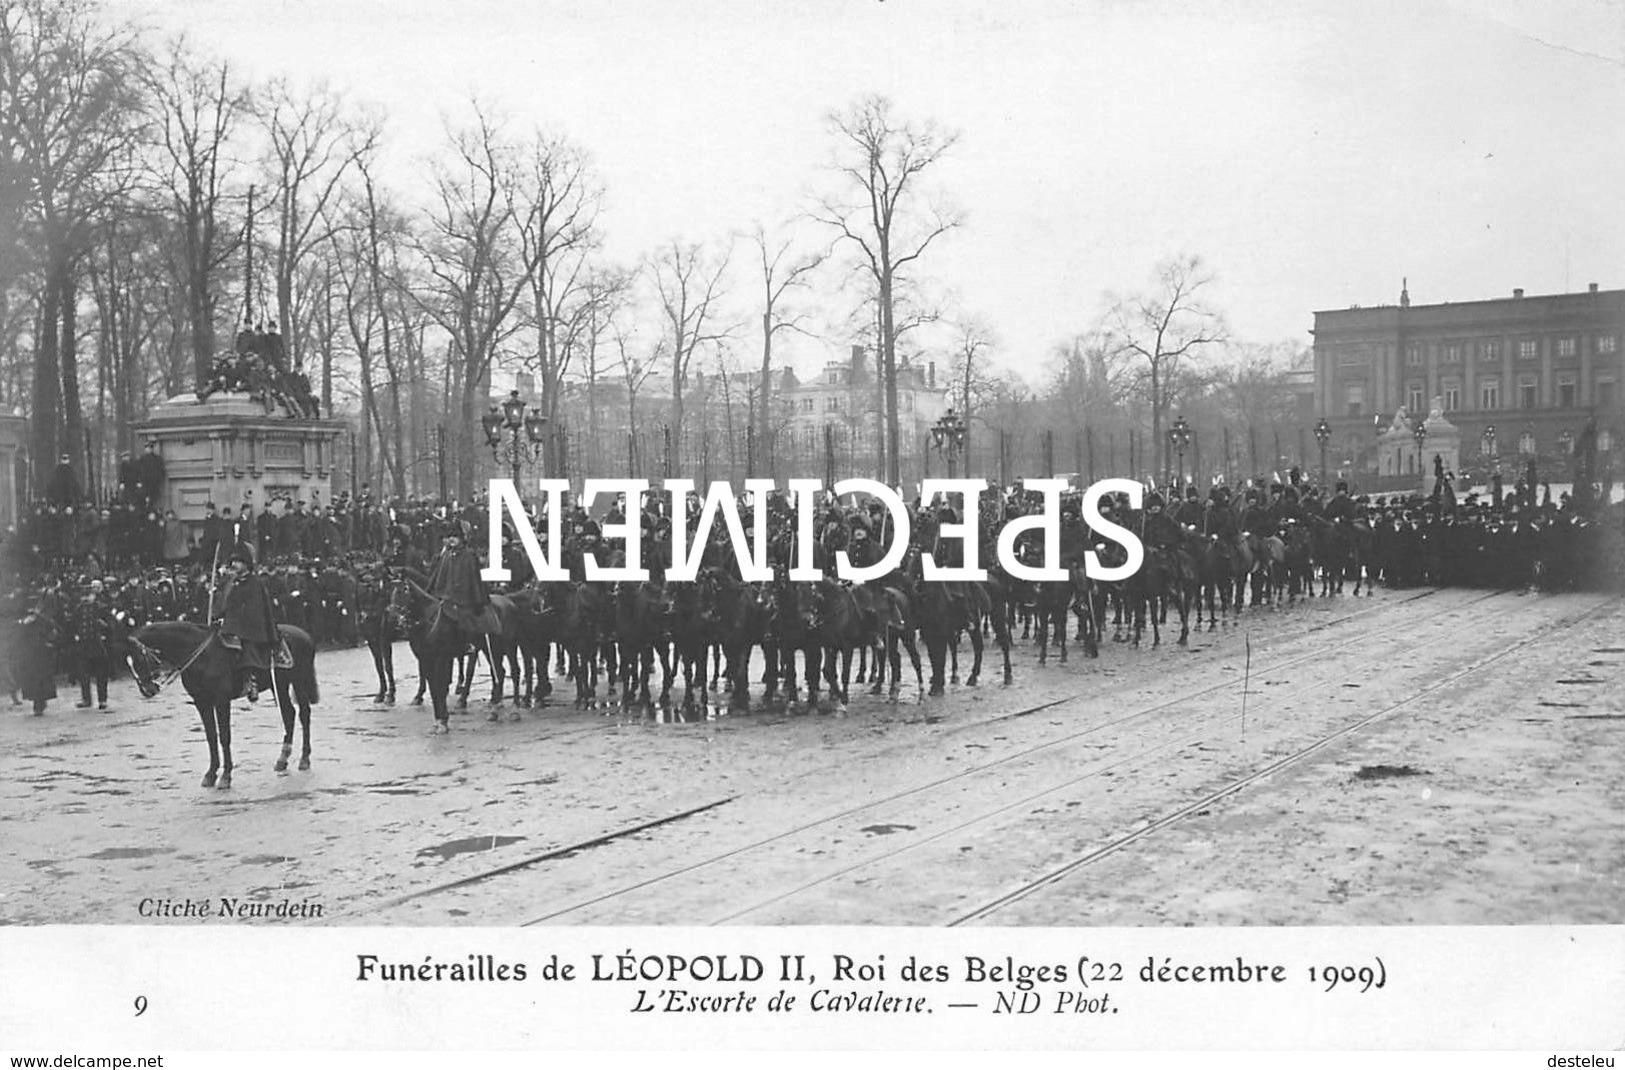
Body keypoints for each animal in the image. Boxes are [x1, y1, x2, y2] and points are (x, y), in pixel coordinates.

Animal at [126, 621, 320, 787]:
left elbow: (224, 736)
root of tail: (304, 635)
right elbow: (211, 736)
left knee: (304, 714)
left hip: (299, 681)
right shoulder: (202, 702)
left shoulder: (221, 700)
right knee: (289, 714)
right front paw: (211, 774)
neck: (203, 657)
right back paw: (282, 759)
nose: (147, 690)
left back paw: (304, 759)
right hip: (278, 685)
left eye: (139, 659)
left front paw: (226, 775)